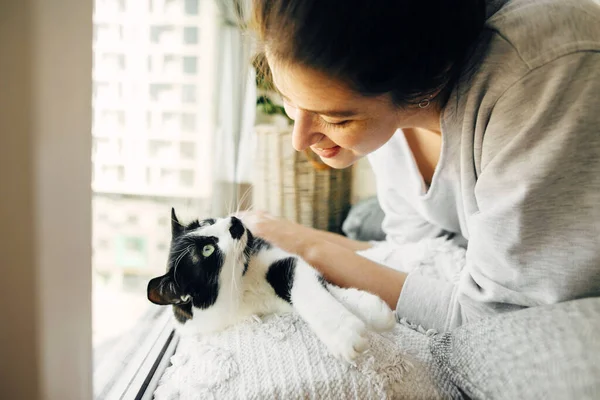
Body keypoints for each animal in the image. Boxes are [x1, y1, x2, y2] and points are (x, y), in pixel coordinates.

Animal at [148, 209, 396, 362]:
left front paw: (368, 312)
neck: (243, 280)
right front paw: (347, 332)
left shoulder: (274, 254)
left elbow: (310, 286)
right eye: (207, 250)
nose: (234, 221)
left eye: (207, 222)